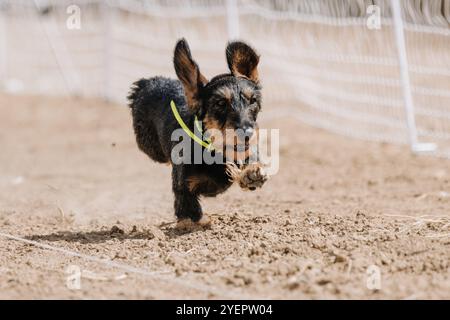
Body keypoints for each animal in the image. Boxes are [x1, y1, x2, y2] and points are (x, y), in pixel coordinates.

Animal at [127, 38, 268, 228]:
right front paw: (197, 221)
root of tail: (147, 82)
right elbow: (190, 210)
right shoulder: (183, 186)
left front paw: (252, 173)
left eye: (253, 100)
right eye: (220, 103)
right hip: (149, 145)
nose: (247, 134)